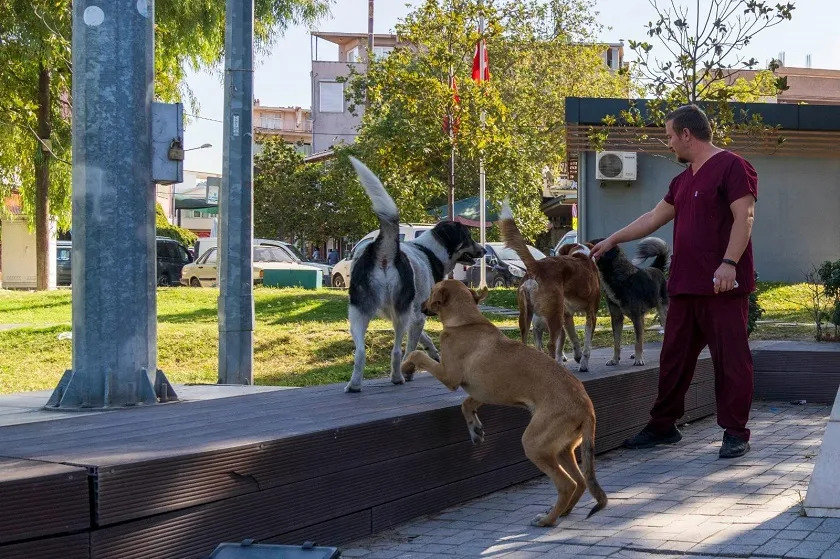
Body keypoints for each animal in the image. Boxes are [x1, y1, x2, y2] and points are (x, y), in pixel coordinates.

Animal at [344, 158, 486, 394]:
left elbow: (424, 338)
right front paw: (410, 370)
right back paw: (397, 377)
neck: (429, 250)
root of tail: (384, 251)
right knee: (395, 351)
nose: (484, 250)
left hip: (358, 312)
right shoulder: (416, 315)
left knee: (360, 352)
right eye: (468, 237)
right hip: (398, 315)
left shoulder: (412, 315)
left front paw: (434, 354)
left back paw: (354, 385)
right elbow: (411, 347)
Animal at [404, 282, 608, 528]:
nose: (420, 305)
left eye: (432, 290)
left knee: (566, 484)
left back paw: (547, 520)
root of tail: (586, 406)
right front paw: (475, 430)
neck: (466, 321)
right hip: (562, 449)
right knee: (580, 482)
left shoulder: (449, 376)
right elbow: (466, 405)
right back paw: (561, 511)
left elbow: (417, 354)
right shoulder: (483, 391)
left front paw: (406, 367)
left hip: (535, 444)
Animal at [502, 201, 600, 372]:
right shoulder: (591, 313)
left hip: (526, 316)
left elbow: (574, 337)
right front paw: (583, 363)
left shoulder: (567, 315)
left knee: (526, 342)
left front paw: (578, 356)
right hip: (554, 315)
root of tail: (536, 266)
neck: (581, 255)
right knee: (551, 345)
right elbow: (587, 343)